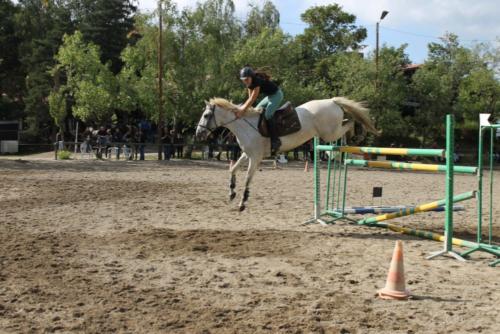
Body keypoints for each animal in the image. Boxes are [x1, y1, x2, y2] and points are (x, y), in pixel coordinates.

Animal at [195, 97, 378, 211]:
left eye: (206, 115)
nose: (198, 134)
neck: (245, 126)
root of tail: (332, 101)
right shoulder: (247, 154)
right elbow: (232, 170)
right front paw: (231, 192)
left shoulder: (255, 157)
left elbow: (247, 178)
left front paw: (242, 202)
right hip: (331, 132)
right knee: (348, 121)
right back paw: (356, 135)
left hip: (330, 133)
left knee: (351, 121)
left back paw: (359, 133)